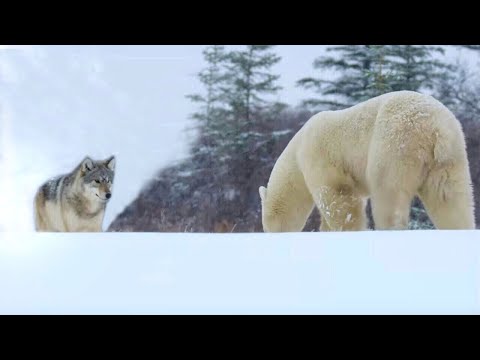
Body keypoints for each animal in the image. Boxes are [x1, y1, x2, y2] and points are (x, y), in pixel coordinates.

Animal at [256, 90, 474, 231]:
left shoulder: (319, 156)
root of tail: (436, 128)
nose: (271, 234)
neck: (296, 154)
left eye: (267, 224)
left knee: (388, 194)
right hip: (451, 157)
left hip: (395, 143)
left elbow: (338, 198)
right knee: (450, 199)